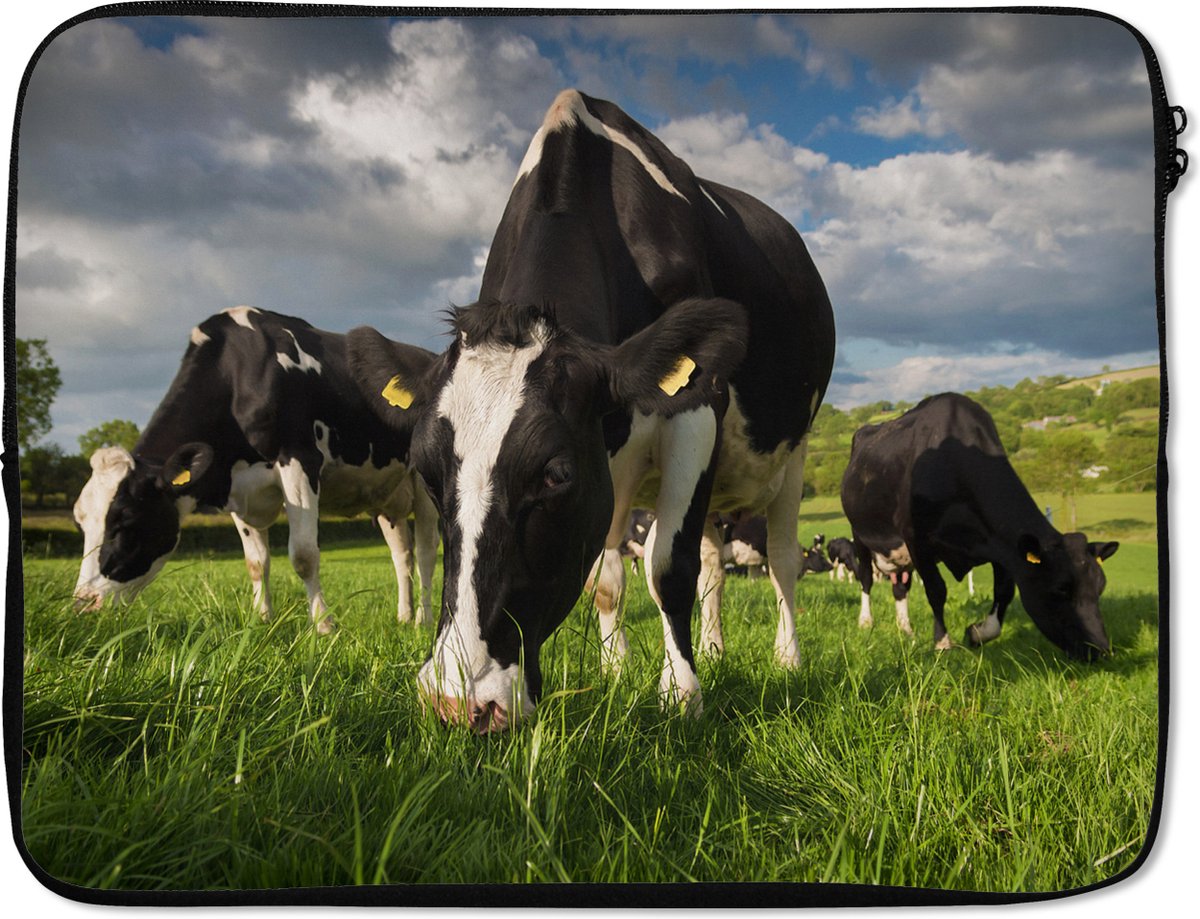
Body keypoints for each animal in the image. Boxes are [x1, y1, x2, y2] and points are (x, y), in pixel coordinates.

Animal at [72, 307, 440, 631]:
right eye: (80, 522)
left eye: (126, 521)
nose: (84, 603)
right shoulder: (237, 488)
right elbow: (255, 562)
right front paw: (261, 620)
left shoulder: (299, 461)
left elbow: (304, 555)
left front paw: (324, 625)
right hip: (386, 494)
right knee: (402, 554)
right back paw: (404, 616)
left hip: (423, 483)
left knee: (425, 551)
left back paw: (423, 620)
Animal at [349, 89, 835, 732]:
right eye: (427, 473)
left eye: (555, 474)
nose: (459, 700)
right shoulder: (610, 467)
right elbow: (608, 581)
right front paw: (617, 671)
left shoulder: (696, 407)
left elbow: (667, 566)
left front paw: (681, 695)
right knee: (712, 562)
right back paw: (711, 649)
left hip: (793, 454)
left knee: (780, 561)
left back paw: (787, 658)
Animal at [840, 392, 1117, 659]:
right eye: (1060, 589)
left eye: (1100, 587)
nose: (1101, 650)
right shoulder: (916, 539)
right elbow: (936, 590)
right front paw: (943, 644)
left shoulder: (1003, 546)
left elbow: (1004, 593)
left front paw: (976, 633)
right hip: (860, 535)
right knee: (866, 578)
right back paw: (866, 621)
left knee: (900, 586)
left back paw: (906, 628)